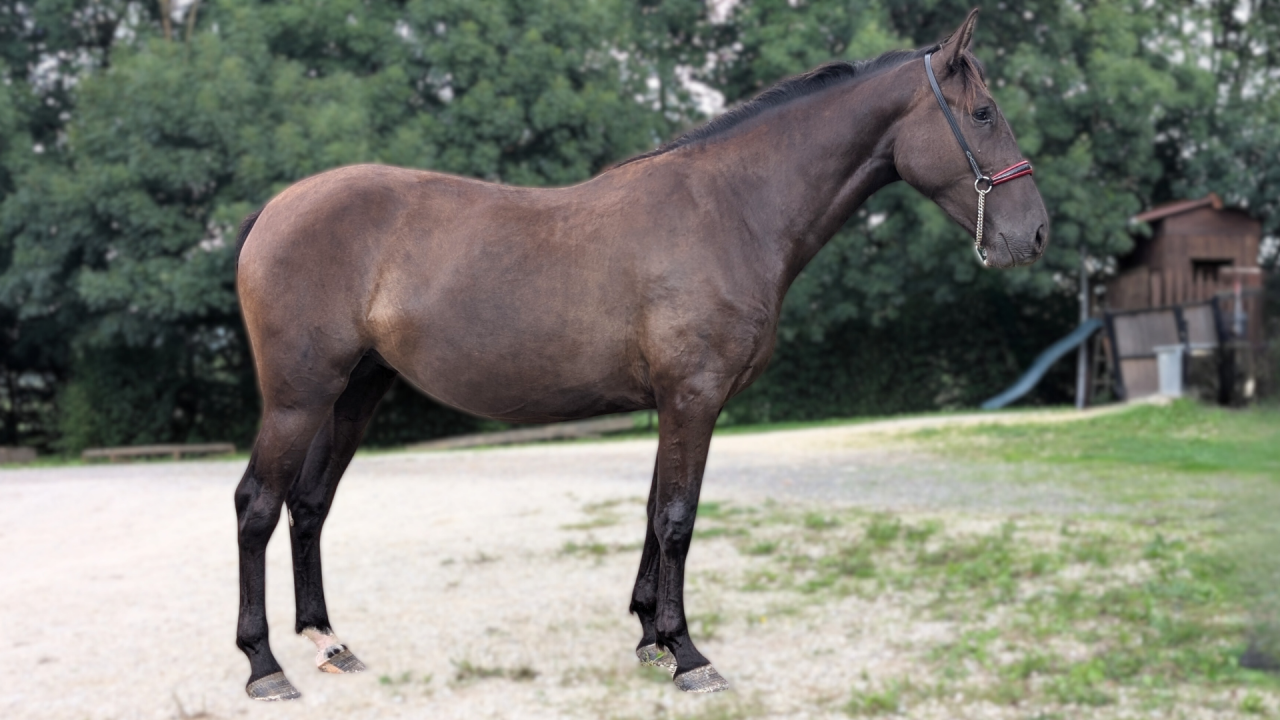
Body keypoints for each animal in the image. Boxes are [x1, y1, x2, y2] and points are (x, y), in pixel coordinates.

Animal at [232, 8, 1048, 700]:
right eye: (984, 114)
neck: (732, 209)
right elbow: (679, 518)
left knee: (310, 504)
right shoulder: (693, 397)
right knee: (257, 505)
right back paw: (264, 666)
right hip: (299, 398)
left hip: (354, 392)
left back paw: (328, 641)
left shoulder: (672, 402)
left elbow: (657, 512)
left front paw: (651, 636)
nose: (1033, 234)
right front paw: (689, 654)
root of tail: (275, 209)